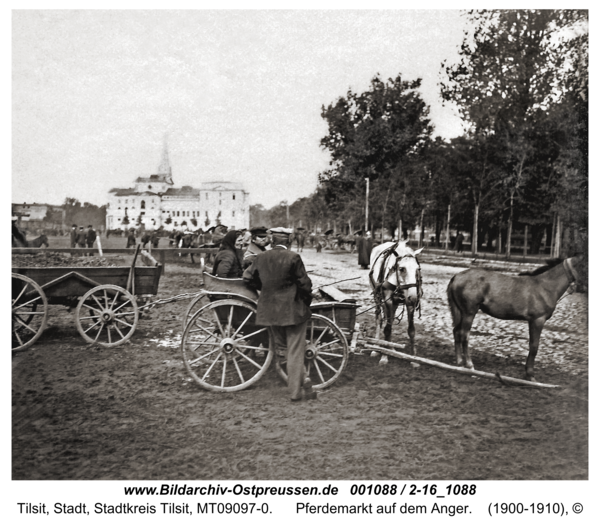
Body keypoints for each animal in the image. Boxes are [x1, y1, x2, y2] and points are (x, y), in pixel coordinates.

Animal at [448, 255, 584, 380]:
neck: (544, 286)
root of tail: (457, 276)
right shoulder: (537, 320)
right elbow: (534, 346)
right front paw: (530, 374)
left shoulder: (532, 321)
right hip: (469, 313)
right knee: (464, 335)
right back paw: (469, 364)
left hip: (461, 313)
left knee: (456, 331)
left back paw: (459, 362)